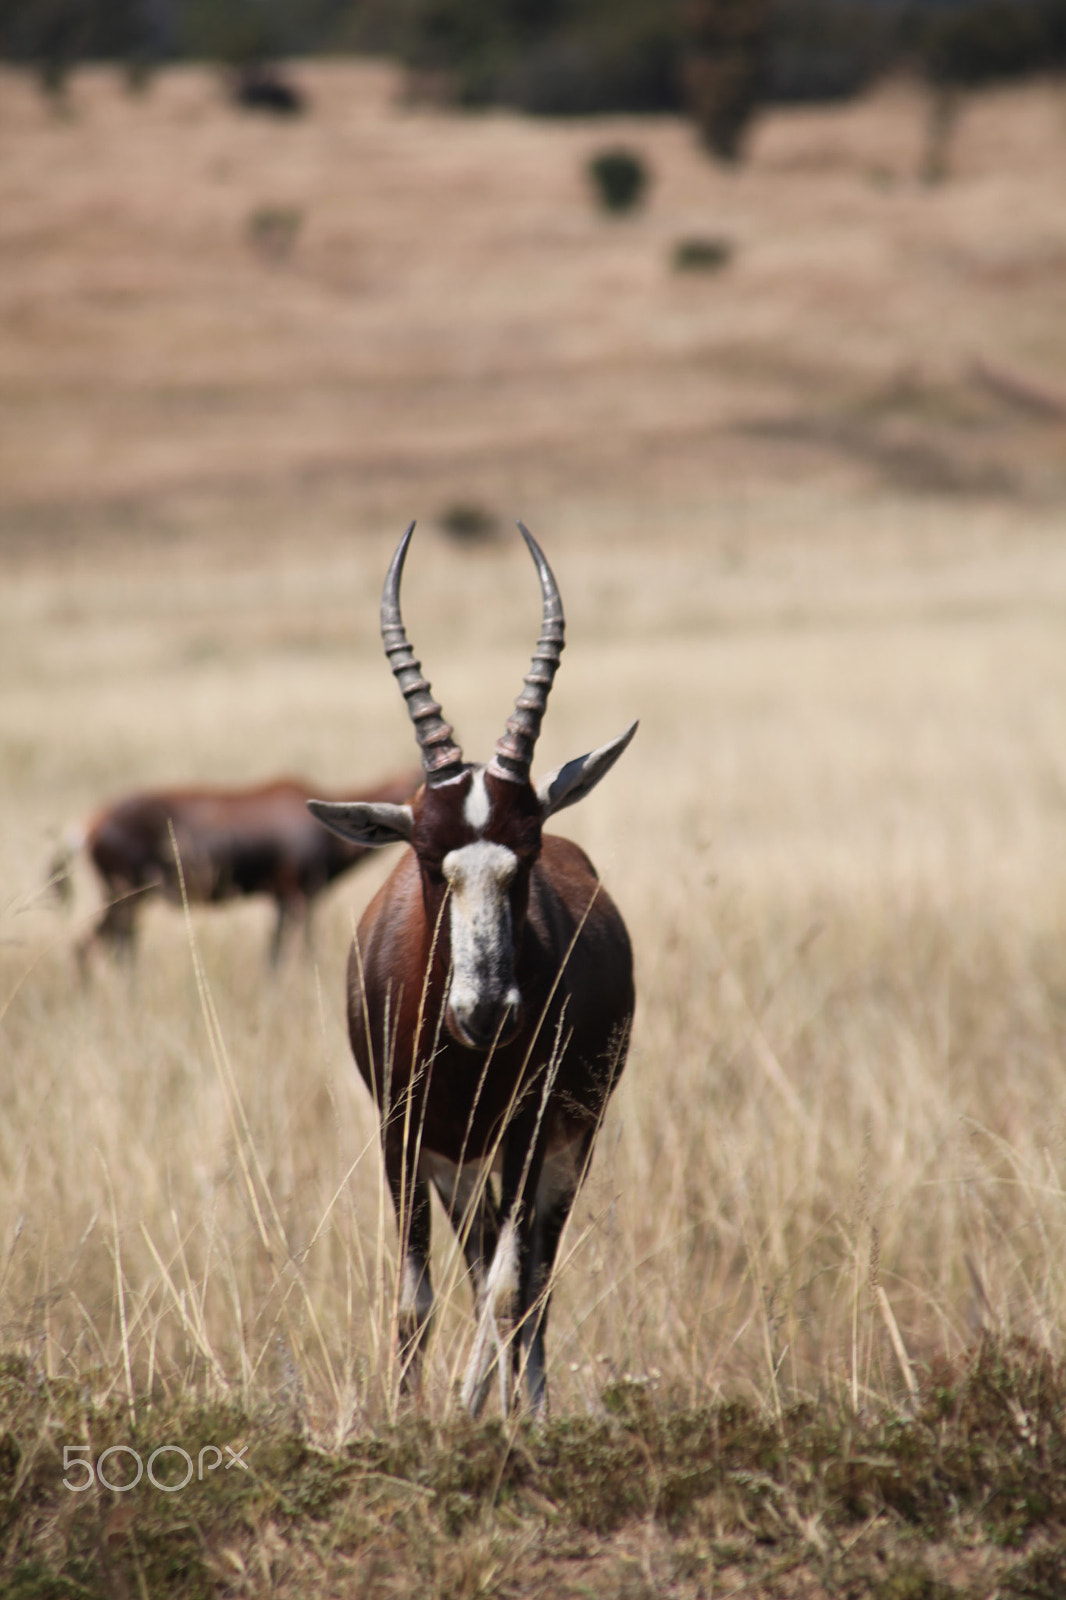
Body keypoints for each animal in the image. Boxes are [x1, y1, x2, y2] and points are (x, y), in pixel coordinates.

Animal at [51, 770, 420, 968]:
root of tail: (88, 825)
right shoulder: (297, 897)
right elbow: (293, 952)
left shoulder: (283, 900)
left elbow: (276, 952)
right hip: (125, 898)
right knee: (102, 946)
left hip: (122, 900)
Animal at [309, 522, 636, 1416]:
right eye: (429, 857)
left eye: (524, 852)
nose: (485, 1013)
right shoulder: (401, 1132)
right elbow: (413, 1297)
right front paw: (408, 1418)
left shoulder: (530, 1127)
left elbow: (508, 1287)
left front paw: (470, 1413)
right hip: (458, 1161)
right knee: (484, 1256)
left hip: (564, 1142)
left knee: (533, 1276)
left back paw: (526, 1408)